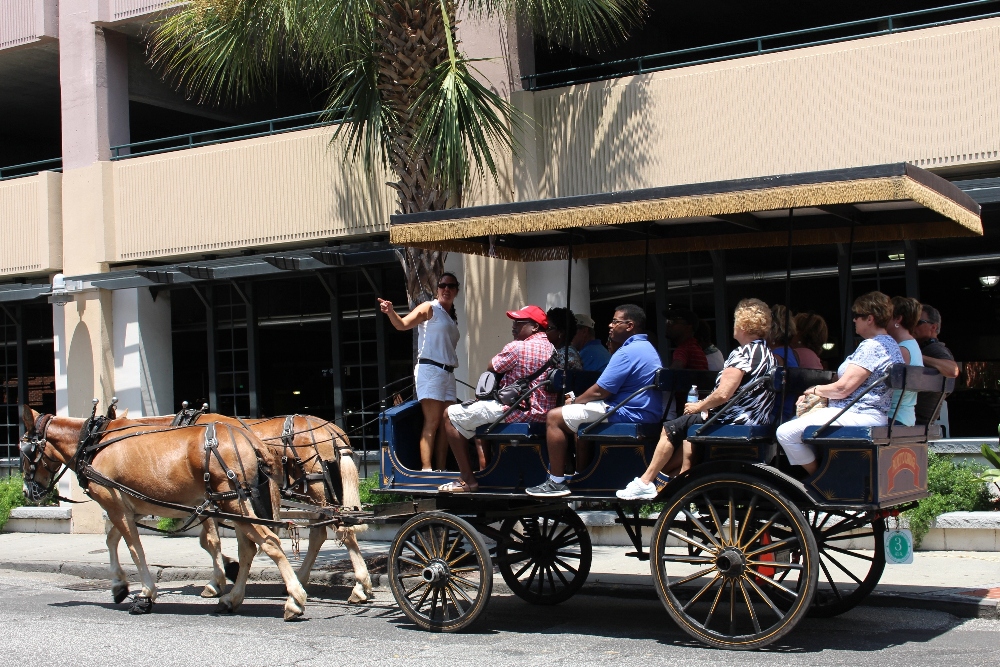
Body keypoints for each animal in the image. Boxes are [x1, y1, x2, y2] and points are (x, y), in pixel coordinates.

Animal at [19, 408, 306, 620]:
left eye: (25, 451)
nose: (27, 491)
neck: (93, 444)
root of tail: (250, 440)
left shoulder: (115, 506)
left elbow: (135, 549)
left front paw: (145, 595)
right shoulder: (130, 507)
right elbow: (111, 540)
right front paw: (119, 585)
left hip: (234, 503)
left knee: (269, 542)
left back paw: (294, 599)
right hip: (237, 506)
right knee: (249, 548)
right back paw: (233, 598)